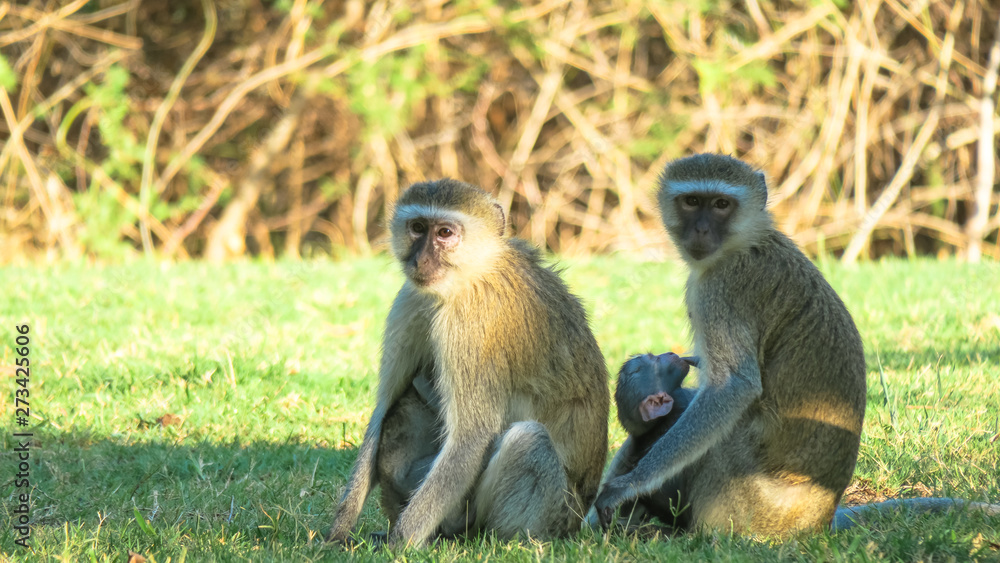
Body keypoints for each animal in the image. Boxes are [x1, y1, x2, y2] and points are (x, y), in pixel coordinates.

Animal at [327, 179, 610, 548]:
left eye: (445, 232)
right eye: (418, 228)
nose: (421, 259)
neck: (475, 271)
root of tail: (579, 519)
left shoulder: (470, 323)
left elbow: (471, 437)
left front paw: (399, 544)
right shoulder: (410, 298)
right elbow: (380, 413)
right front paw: (338, 530)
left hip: (553, 516)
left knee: (528, 440)